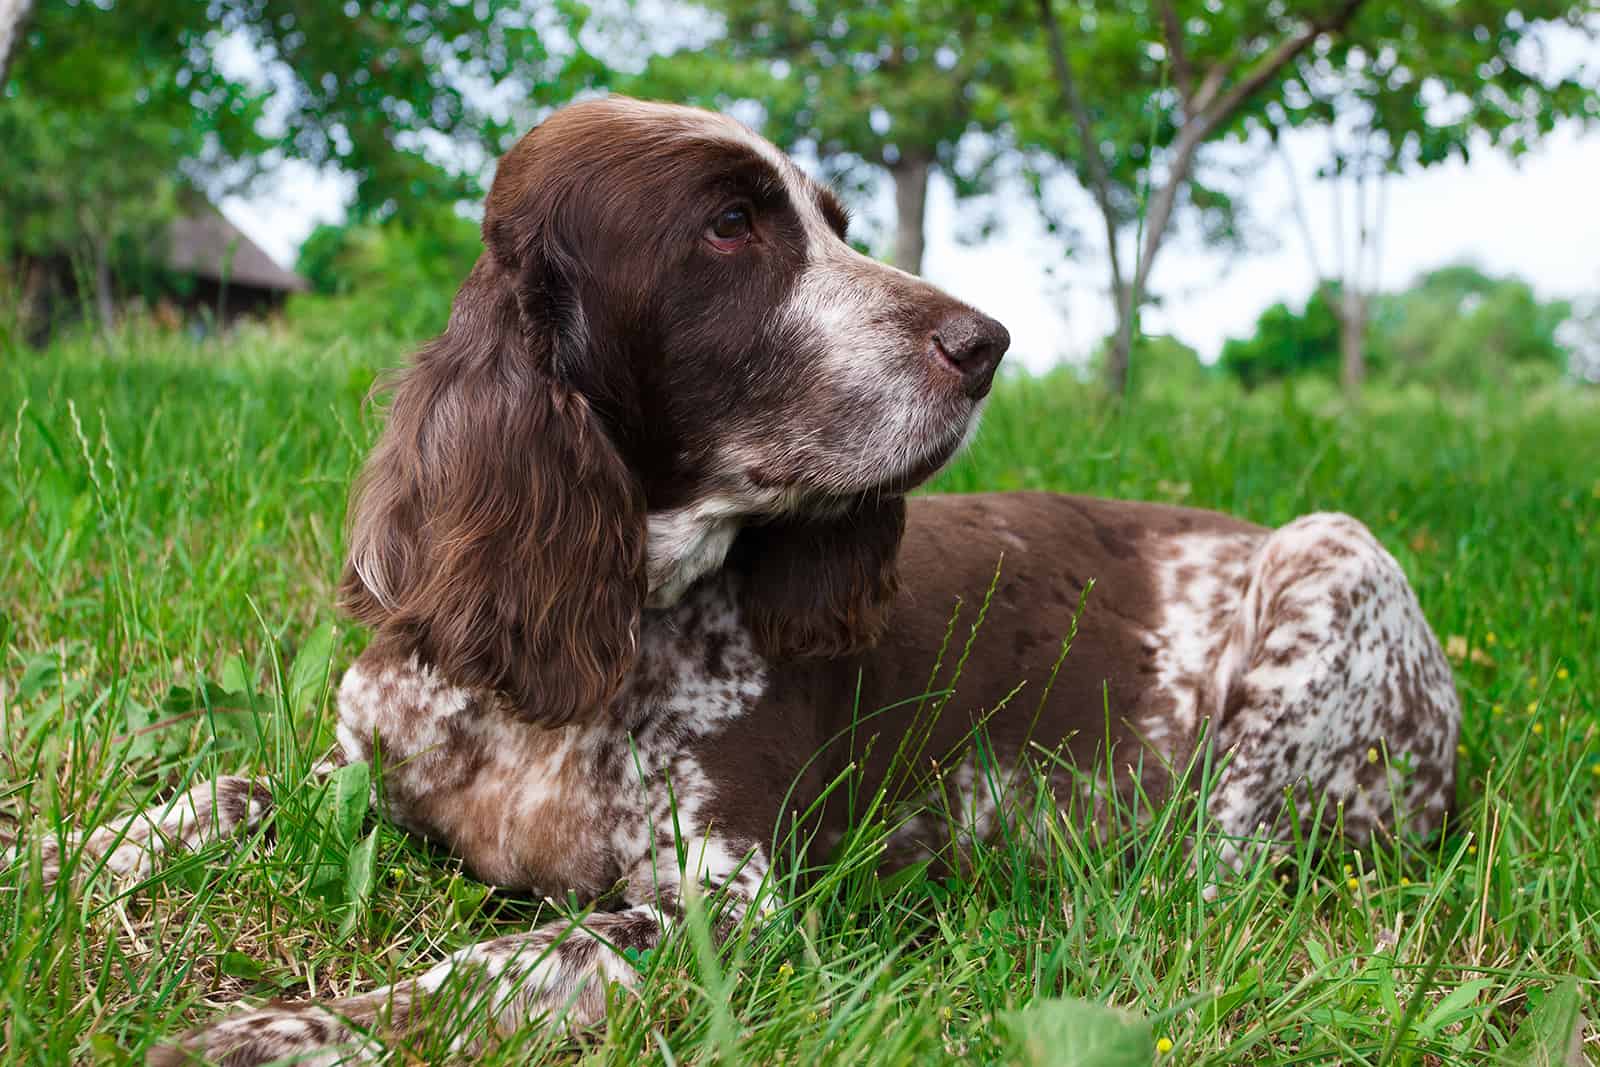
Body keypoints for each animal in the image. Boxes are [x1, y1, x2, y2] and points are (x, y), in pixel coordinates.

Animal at [37, 97, 1465, 1062]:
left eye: (836, 224)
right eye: (730, 227)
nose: (986, 341)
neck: (606, 623)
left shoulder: (729, 905)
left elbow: (495, 959)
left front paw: (290, 1027)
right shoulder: (359, 771)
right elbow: (217, 791)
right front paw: (47, 853)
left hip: (1330, 551)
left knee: (1221, 876)